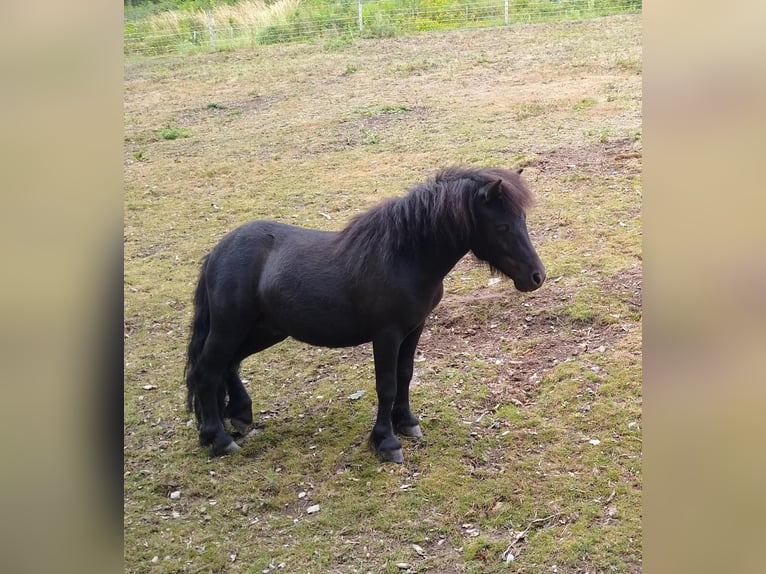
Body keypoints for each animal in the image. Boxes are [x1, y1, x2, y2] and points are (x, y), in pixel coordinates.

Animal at [184, 166, 546, 463]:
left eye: (523, 221)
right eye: (502, 226)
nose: (536, 277)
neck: (404, 256)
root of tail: (217, 252)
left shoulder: (414, 329)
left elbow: (405, 375)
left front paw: (407, 423)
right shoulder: (386, 334)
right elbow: (386, 384)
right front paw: (386, 442)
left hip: (264, 330)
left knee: (229, 364)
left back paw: (238, 416)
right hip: (230, 328)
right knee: (207, 371)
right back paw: (218, 439)